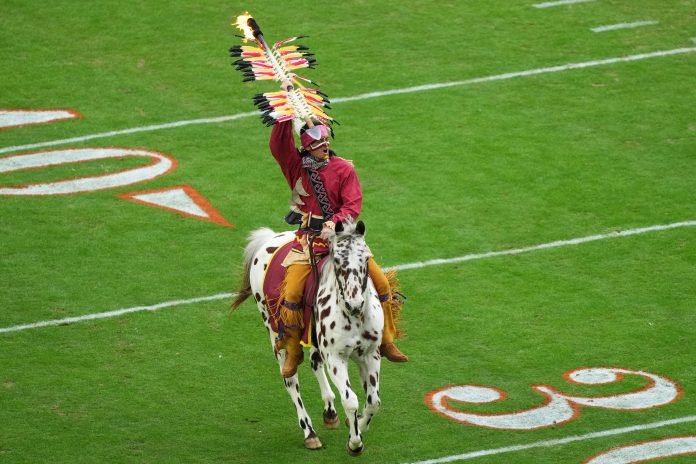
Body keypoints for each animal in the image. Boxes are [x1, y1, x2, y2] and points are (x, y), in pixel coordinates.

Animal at [234, 219, 386, 454]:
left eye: (366, 258)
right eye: (337, 261)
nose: (354, 304)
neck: (354, 317)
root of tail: (268, 239)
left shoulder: (370, 355)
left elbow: (373, 402)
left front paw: (359, 425)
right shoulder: (335, 358)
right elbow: (350, 400)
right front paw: (355, 442)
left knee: (315, 362)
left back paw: (330, 412)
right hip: (276, 335)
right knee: (290, 380)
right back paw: (310, 433)